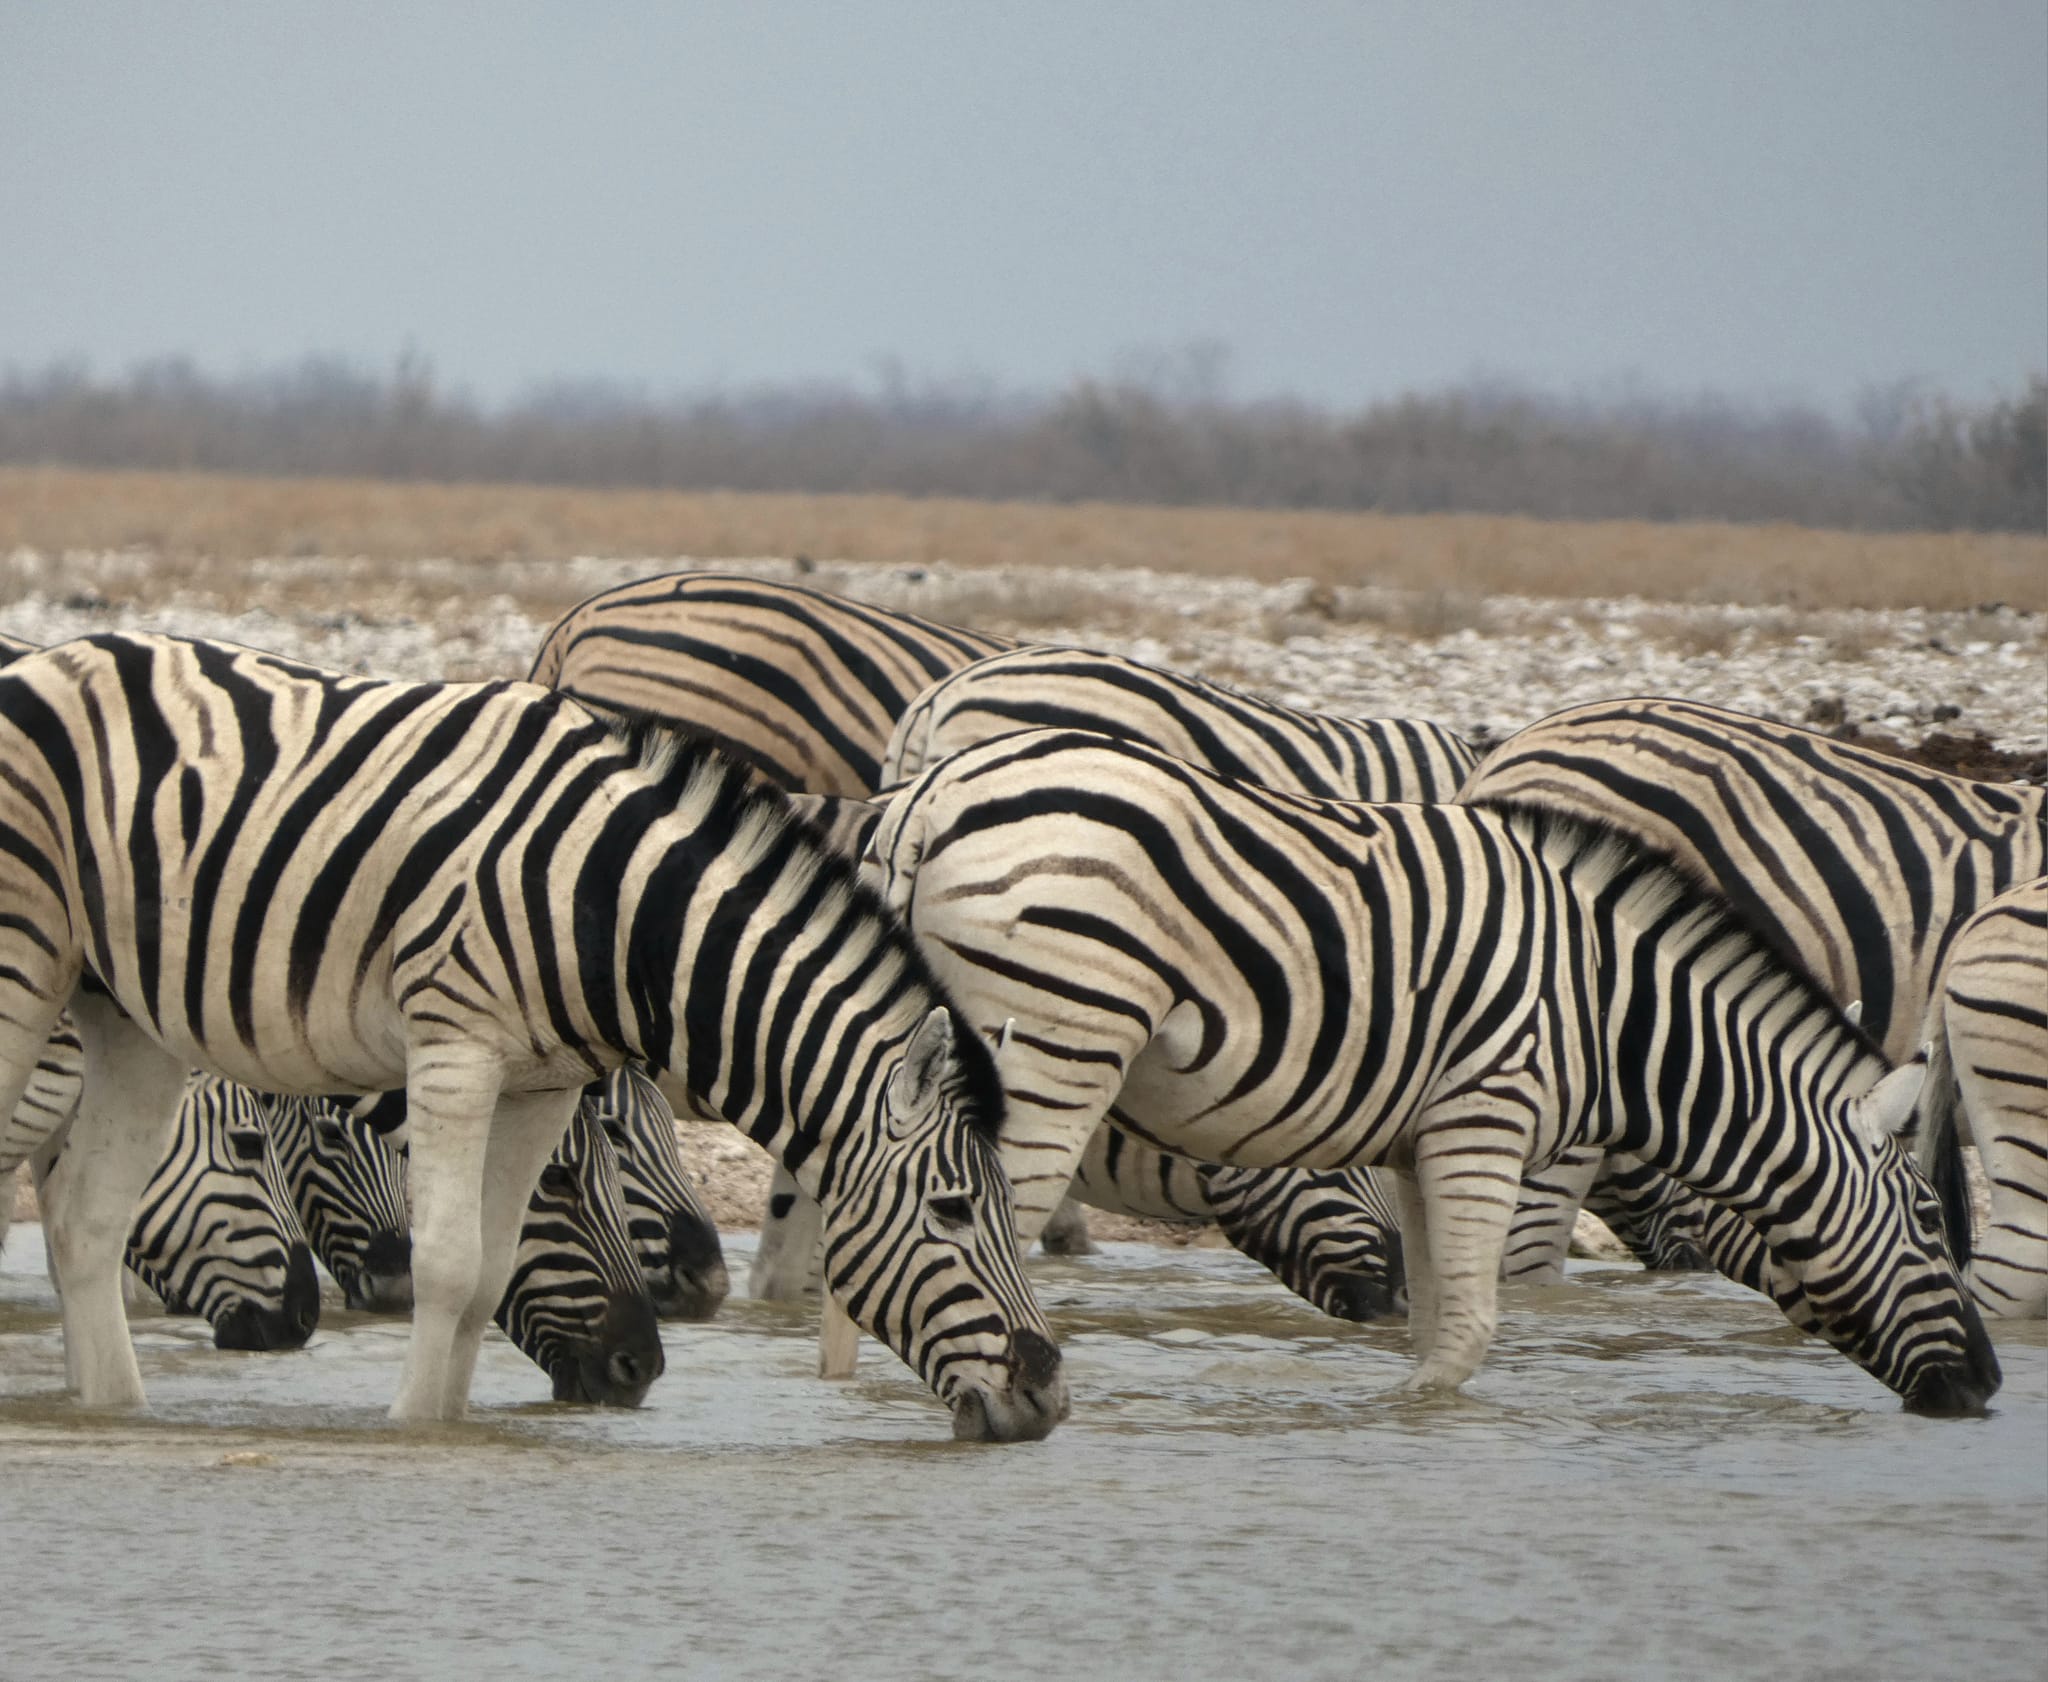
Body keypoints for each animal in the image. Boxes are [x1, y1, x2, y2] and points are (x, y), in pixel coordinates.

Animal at [864, 729, 1998, 1409]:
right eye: (1929, 1219)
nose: (1987, 1384)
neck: (1610, 1011)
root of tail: (936, 794)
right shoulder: (1486, 1120)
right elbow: (1469, 1328)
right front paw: (1424, 1426)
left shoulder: (1419, 1137)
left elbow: (1428, 1322)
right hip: (1057, 1041)